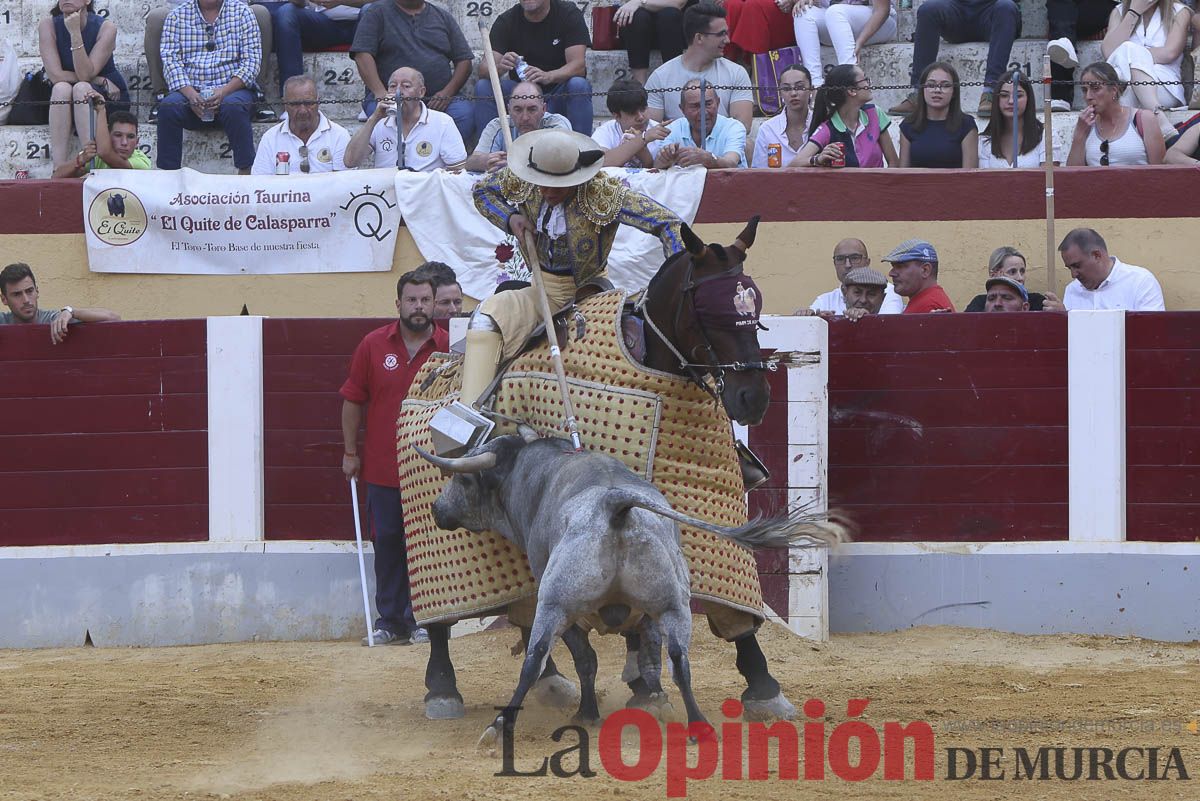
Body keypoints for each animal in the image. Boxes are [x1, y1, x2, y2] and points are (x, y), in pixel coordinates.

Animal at [417, 424, 849, 743]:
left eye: (463, 481)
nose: (437, 509)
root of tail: (615, 505)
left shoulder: (565, 607)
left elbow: (586, 661)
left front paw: (589, 712)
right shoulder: (645, 616)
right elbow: (646, 657)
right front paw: (651, 699)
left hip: (556, 604)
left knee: (534, 659)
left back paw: (499, 727)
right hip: (673, 605)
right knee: (679, 661)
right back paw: (697, 725)